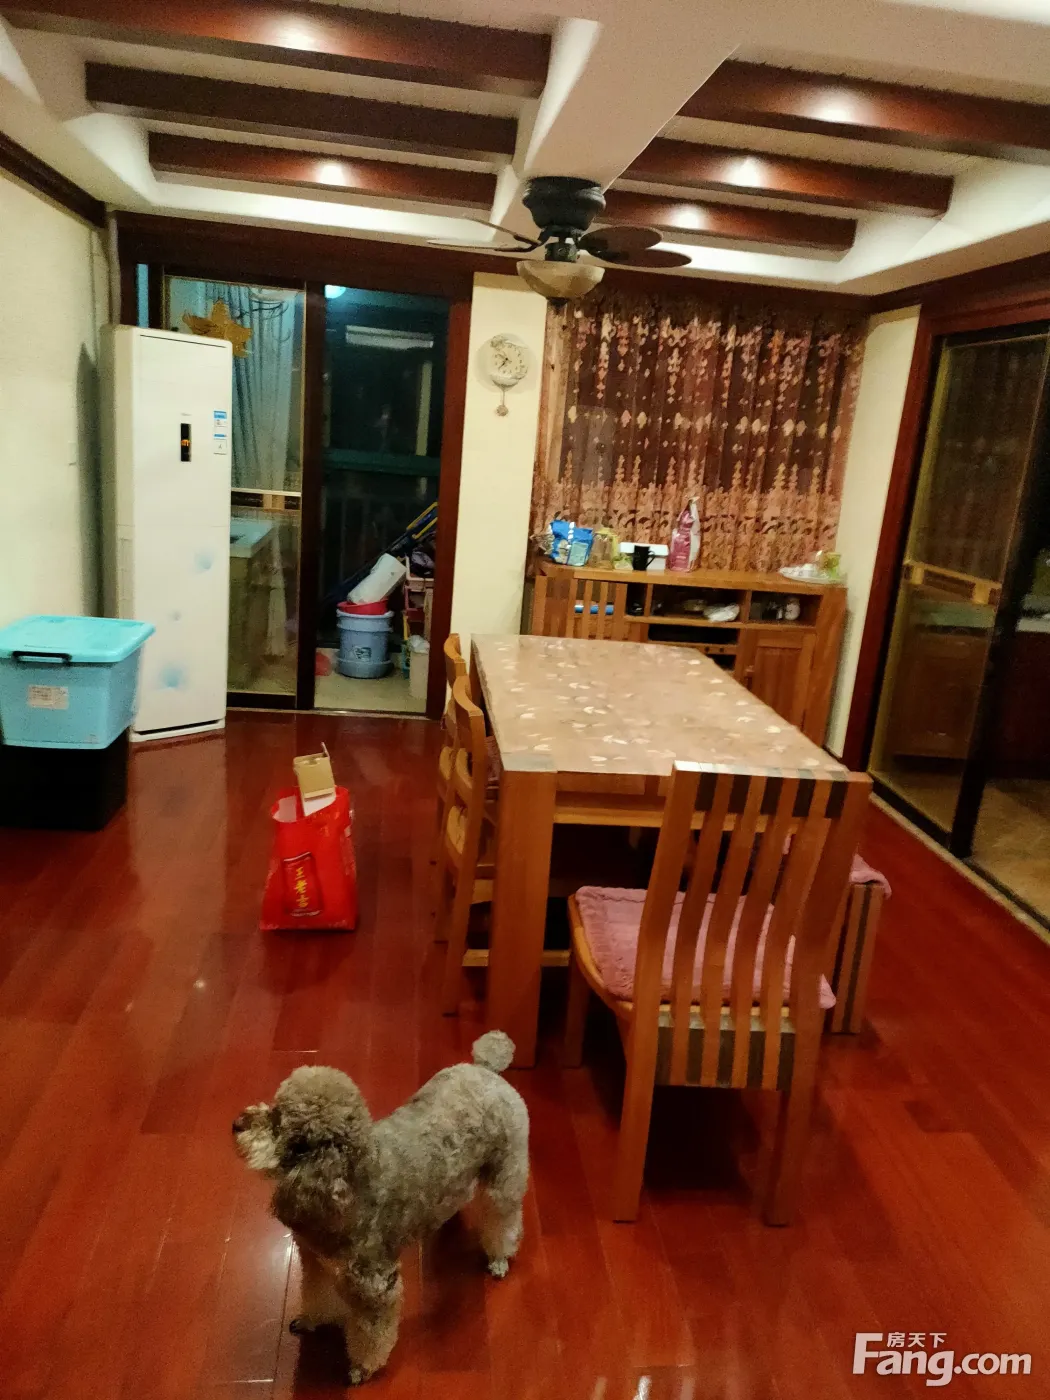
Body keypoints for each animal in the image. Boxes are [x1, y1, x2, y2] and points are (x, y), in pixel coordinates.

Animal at [232, 1030, 528, 1385]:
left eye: (281, 1124)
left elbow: (371, 1334)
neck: (347, 1184)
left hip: (506, 1174)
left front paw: (362, 1368)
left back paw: (499, 1258)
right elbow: (317, 1294)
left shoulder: (375, 1286)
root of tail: (486, 1069)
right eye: (274, 1107)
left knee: (503, 1218)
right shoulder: (316, 1261)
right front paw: (312, 1320)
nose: (236, 1123)